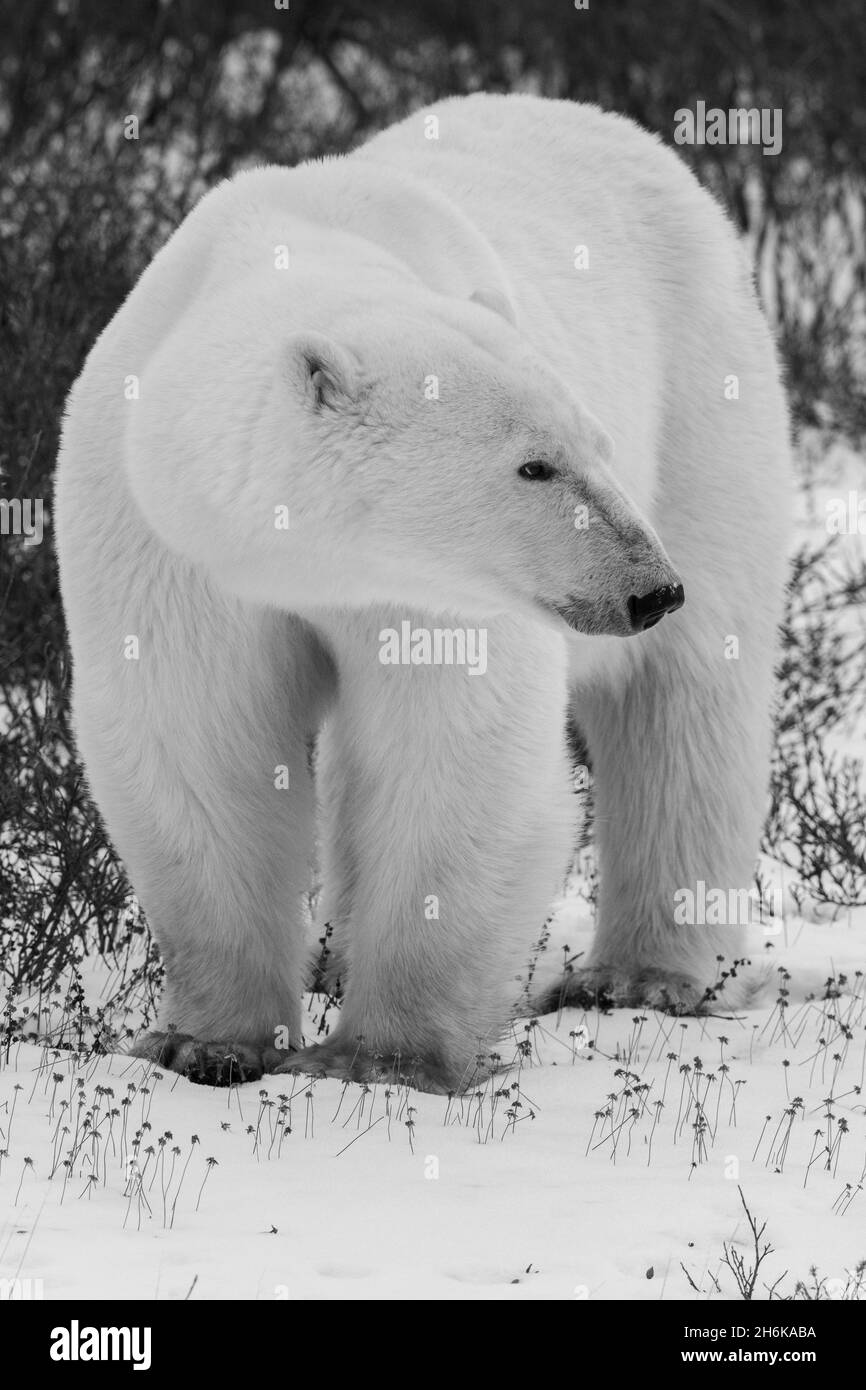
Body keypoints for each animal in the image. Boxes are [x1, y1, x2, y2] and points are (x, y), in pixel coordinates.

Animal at [54, 95, 795, 1095]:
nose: (649, 589)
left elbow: (451, 755)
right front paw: (204, 1044)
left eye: (594, 445)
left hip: (701, 400)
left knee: (681, 695)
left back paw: (640, 974)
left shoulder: (439, 593)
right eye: (534, 465)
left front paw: (377, 1057)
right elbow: (199, 745)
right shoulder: (165, 544)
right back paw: (334, 950)